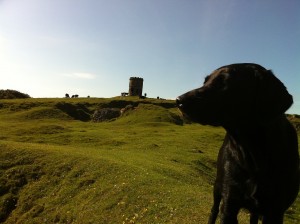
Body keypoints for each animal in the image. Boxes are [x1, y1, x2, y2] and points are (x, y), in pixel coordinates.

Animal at [177, 63, 298, 224]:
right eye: (205, 82)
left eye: (224, 82)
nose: (178, 100)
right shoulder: (229, 204)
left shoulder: (274, 211)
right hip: (218, 187)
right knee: (213, 210)